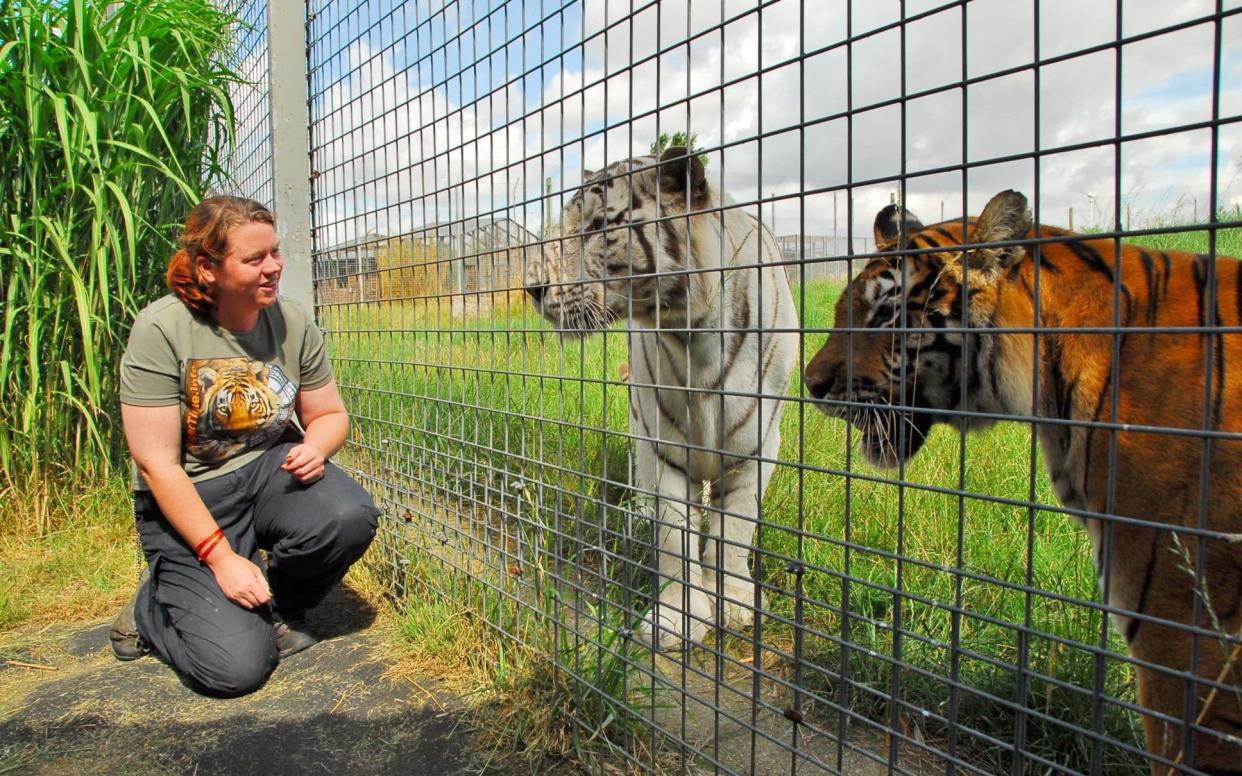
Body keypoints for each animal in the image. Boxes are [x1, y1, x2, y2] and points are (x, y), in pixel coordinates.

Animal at [521, 145, 794, 645]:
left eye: (599, 226)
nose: (531, 288)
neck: (694, 336)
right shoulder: (664, 441)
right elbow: (673, 537)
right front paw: (675, 618)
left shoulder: (755, 448)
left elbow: (734, 532)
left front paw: (735, 606)